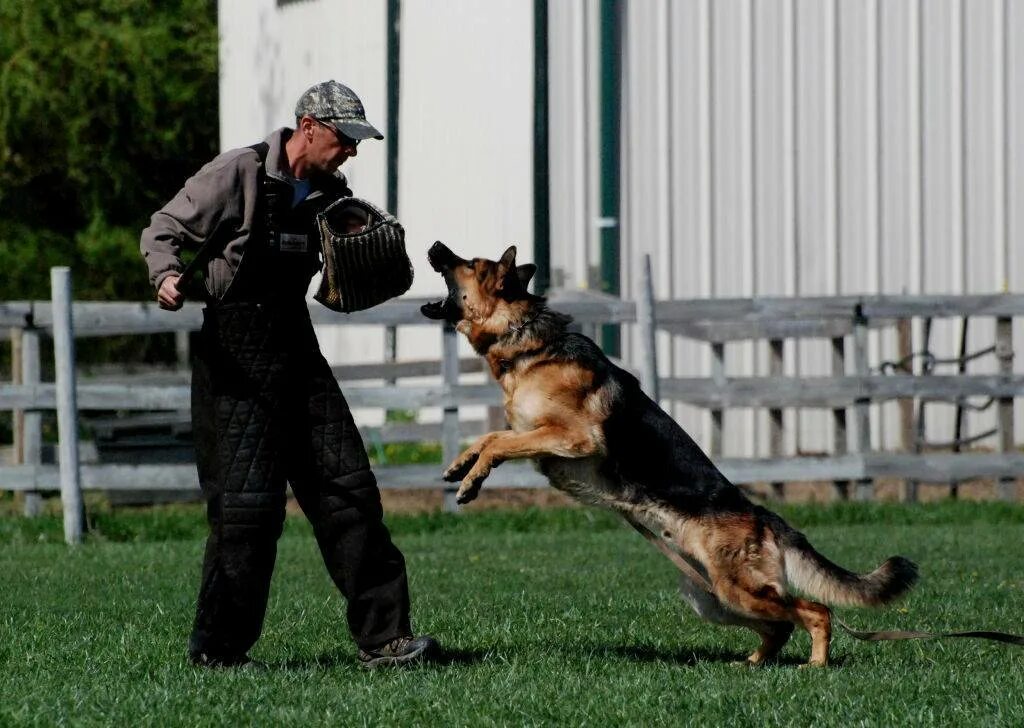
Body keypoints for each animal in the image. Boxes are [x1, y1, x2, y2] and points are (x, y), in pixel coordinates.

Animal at [419, 243, 917, 667]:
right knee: (780, 626)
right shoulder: (533, 431)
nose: (435, 246)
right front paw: (462, 467)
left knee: (815, 611)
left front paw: (471, 481)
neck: (525, 340)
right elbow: (490, 436)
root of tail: (762, 515)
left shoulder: (574, 437)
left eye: (470, 263)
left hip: (738, 590)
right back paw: (753, 663)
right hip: (713, 595)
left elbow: (500, 442)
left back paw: (815, 665)